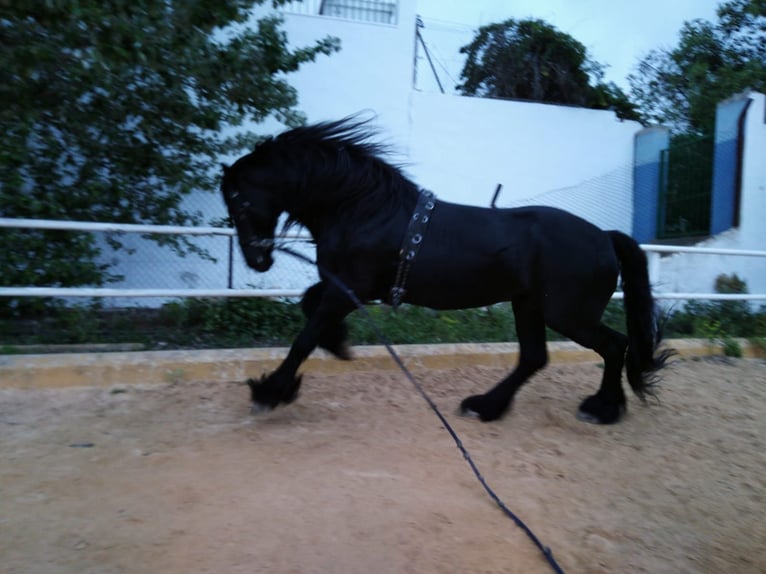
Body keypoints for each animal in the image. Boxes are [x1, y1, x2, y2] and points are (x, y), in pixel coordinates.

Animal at [220, 116, 671, 425]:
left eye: (238, 201)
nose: (258, 260)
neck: (362, 208)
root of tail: (604, 236)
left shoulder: (350, 288)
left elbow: (304, 336)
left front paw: (270, 391)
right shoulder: (345, 287)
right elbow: (308, 305)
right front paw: (339, 342)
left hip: (566, 313)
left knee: (614, 345)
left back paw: (602, 408)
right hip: (527, 305)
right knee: (534, 357)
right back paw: (486, 406)